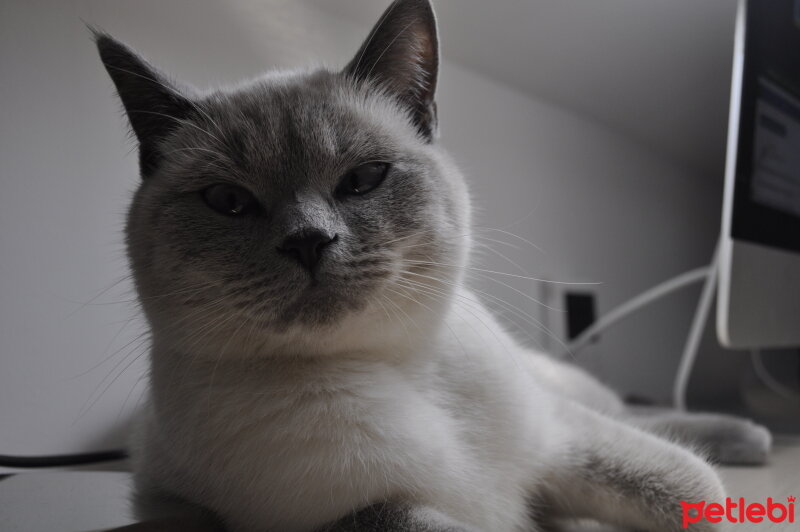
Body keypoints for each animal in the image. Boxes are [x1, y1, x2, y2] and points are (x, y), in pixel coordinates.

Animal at [94, 2, 768, 528]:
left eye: (364, 180)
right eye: (229, 202)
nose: (309, 240)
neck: (400, 367)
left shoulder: (554, 441)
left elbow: (688, 488)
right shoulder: (351, 516)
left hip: (560, 396)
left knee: (637, 415)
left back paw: (749, 437)